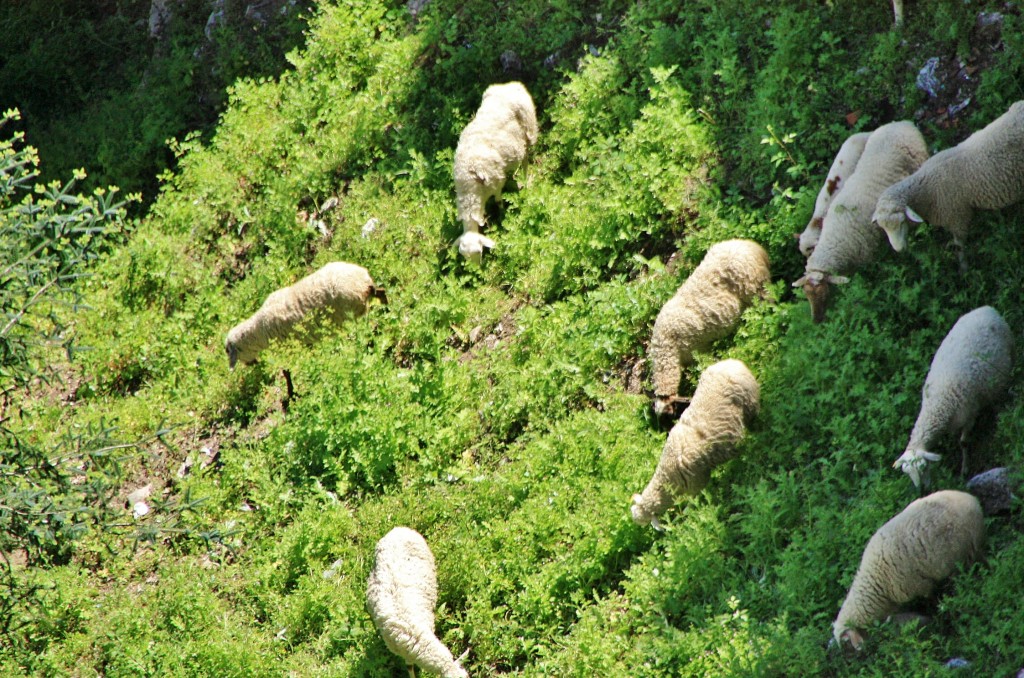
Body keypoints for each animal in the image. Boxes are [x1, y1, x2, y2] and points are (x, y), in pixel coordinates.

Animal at [453, 81, 538, 264]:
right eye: (464, 256)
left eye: (479, 252)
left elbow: (499, 200)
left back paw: (525, 181)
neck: (470, 187)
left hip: (529, 130)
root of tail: (512, 85)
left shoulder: (496, 183)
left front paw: (501, 213)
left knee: (525, 159)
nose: (474, 270)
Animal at [833, 490, 985, 651]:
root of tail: (972, 500)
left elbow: (930, 598)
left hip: (969, 550)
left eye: (846, 643)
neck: (877, 582)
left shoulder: (919, 586)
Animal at [872, 100, 1024, 267]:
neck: (926, 189)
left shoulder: (957, 217)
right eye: (883, 228)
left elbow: (959, 245)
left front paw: (964, 268)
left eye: (901, 222)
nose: (899, 249)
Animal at [893, 306, 1013, 488]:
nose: (922, 490)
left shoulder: (970, 413)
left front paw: (965, 469)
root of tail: (986, 308)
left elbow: (963, 442)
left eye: (924, 467)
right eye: (907, 473)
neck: (937, 404)